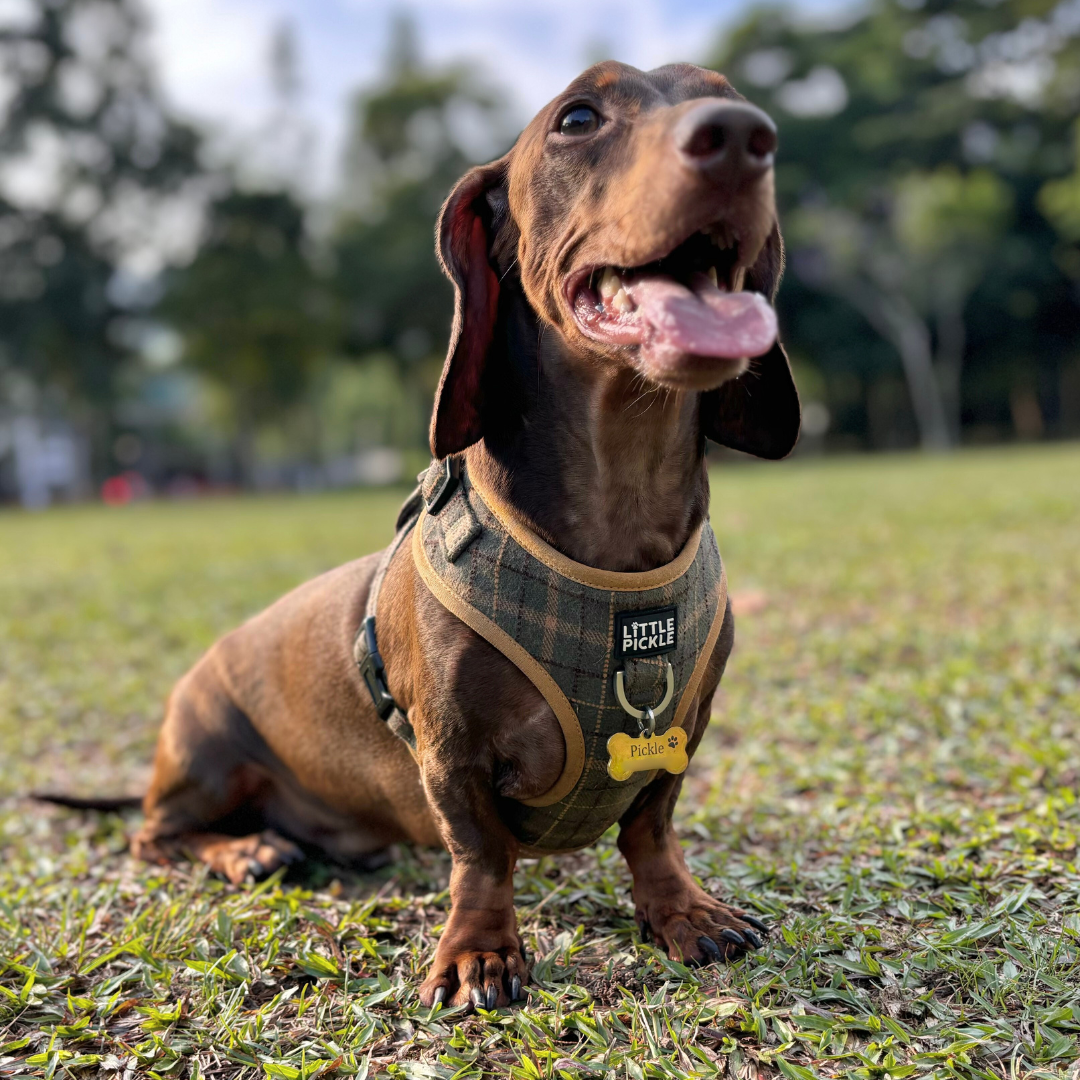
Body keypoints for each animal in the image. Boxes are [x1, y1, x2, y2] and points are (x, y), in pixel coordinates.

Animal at [116, 63, 803, 1010]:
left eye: (727, 93)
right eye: (578, 118)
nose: (743, 136)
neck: (617, 541)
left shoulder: (680, 735)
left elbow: (651, 830)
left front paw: (683, 911)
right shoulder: (448, 752)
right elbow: (481, 856)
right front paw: (480, 952)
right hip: (205, 750)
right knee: (154, 837)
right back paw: (246, 848)